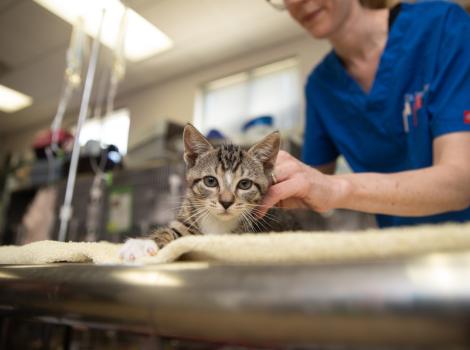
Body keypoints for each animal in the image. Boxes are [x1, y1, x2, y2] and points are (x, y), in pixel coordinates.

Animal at [119, 123, 292, 260]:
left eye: (244, 184)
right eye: (210, 181)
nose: (226, 202)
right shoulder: (186, 219)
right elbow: (170, 231)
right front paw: (140, 244)